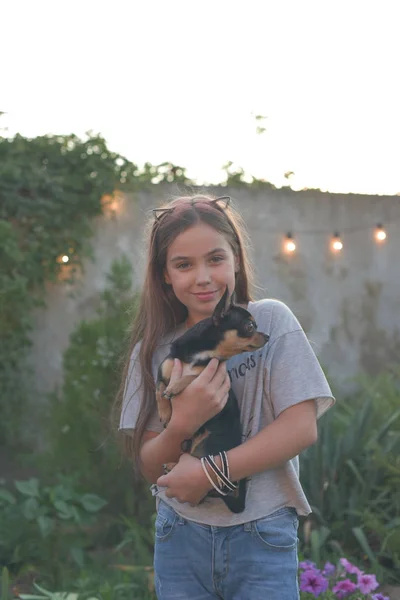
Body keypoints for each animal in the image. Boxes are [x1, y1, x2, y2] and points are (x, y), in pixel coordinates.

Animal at [156, 288, 268, 512]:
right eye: (250, 326)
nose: (267, 336)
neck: (203, 353)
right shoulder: (164, 370)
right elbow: (159, 389)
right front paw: (165, 412)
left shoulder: (210, 373)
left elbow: (191, 376)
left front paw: (176, 386)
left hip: (205, 442)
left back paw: (173, 466)